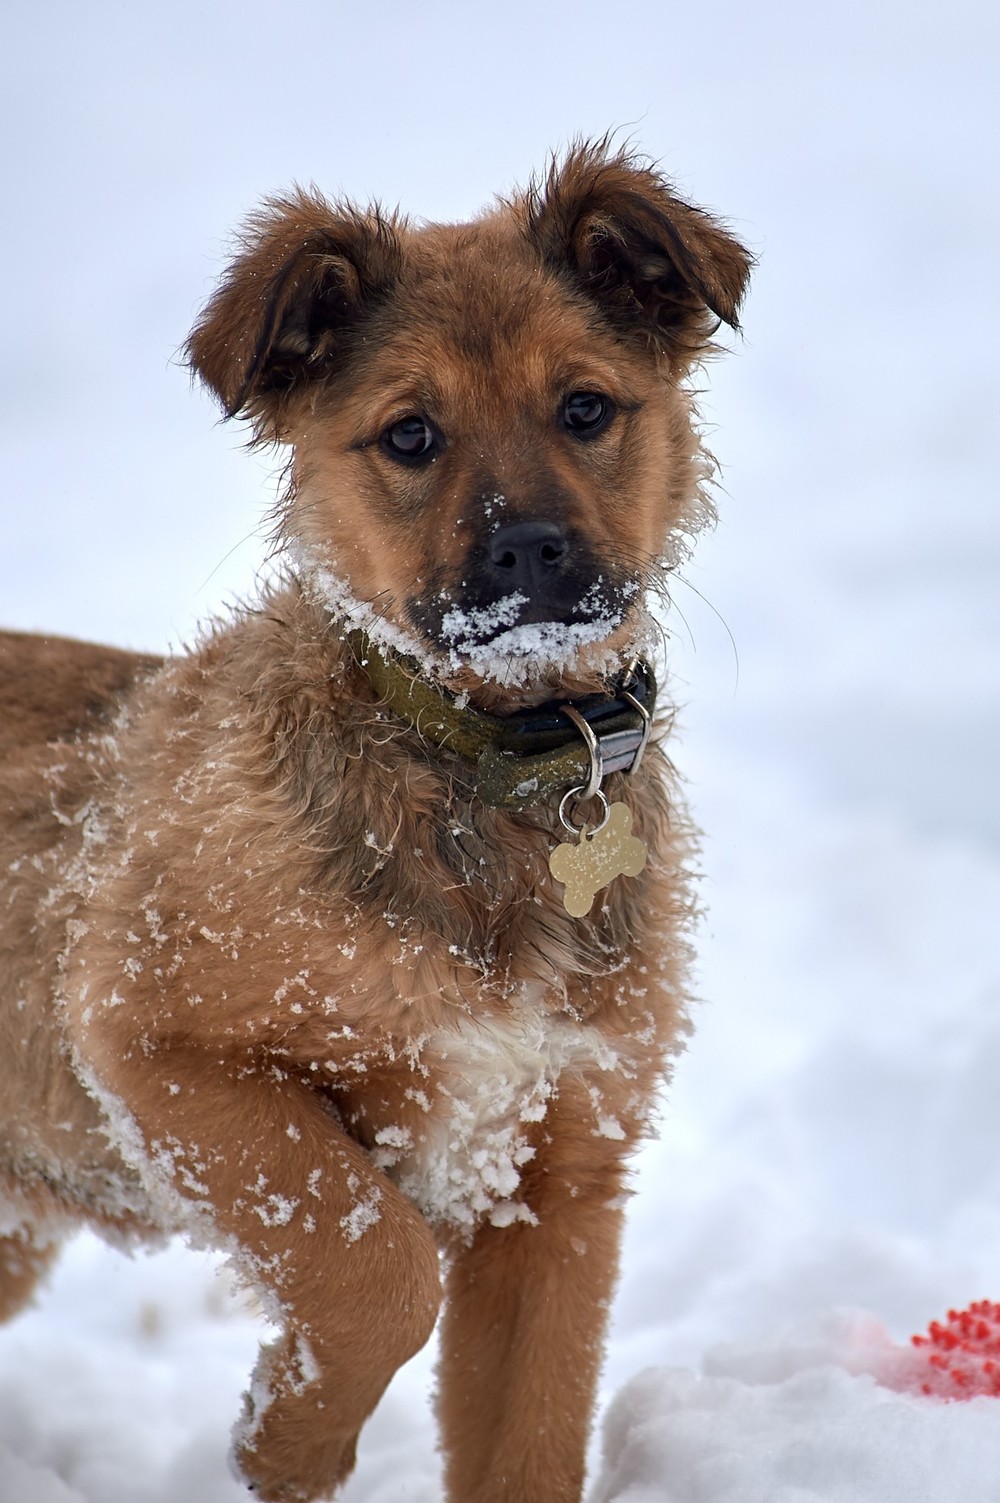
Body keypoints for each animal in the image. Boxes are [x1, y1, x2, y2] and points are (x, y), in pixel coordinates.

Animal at [0, 143, 748, 1503]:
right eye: (410, 435)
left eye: (585, 409)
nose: (532, 552)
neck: (493, 774)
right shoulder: (153, 1043)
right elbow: (378, 1264)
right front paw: (286, 1432)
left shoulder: (560, 1183)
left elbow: (531, 1440)